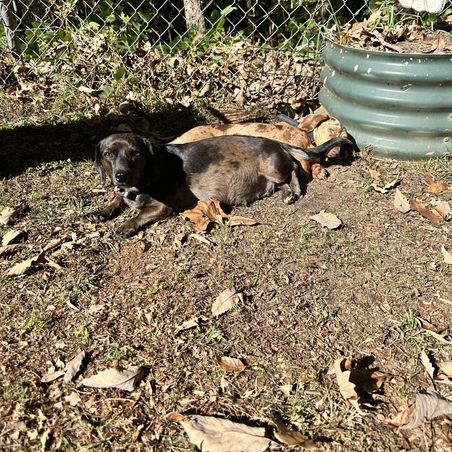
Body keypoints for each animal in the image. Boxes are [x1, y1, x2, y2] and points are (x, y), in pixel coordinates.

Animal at [94, 133, 351, 237]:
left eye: (135, 153)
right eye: (108, 154)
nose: (120, 175)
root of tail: (278, 143)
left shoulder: (161, 208)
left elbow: (138, 215)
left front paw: (125, 227)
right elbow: (116, 200)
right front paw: (102, 211)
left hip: (274, 167)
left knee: (295, 169)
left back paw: (295, 190)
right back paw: (287, 194)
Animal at [170, 113, 348, 179]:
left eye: (345, 138)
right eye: (331, 130)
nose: (335, 152)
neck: (308, 137)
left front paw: (319, 170)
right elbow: (305, 164)